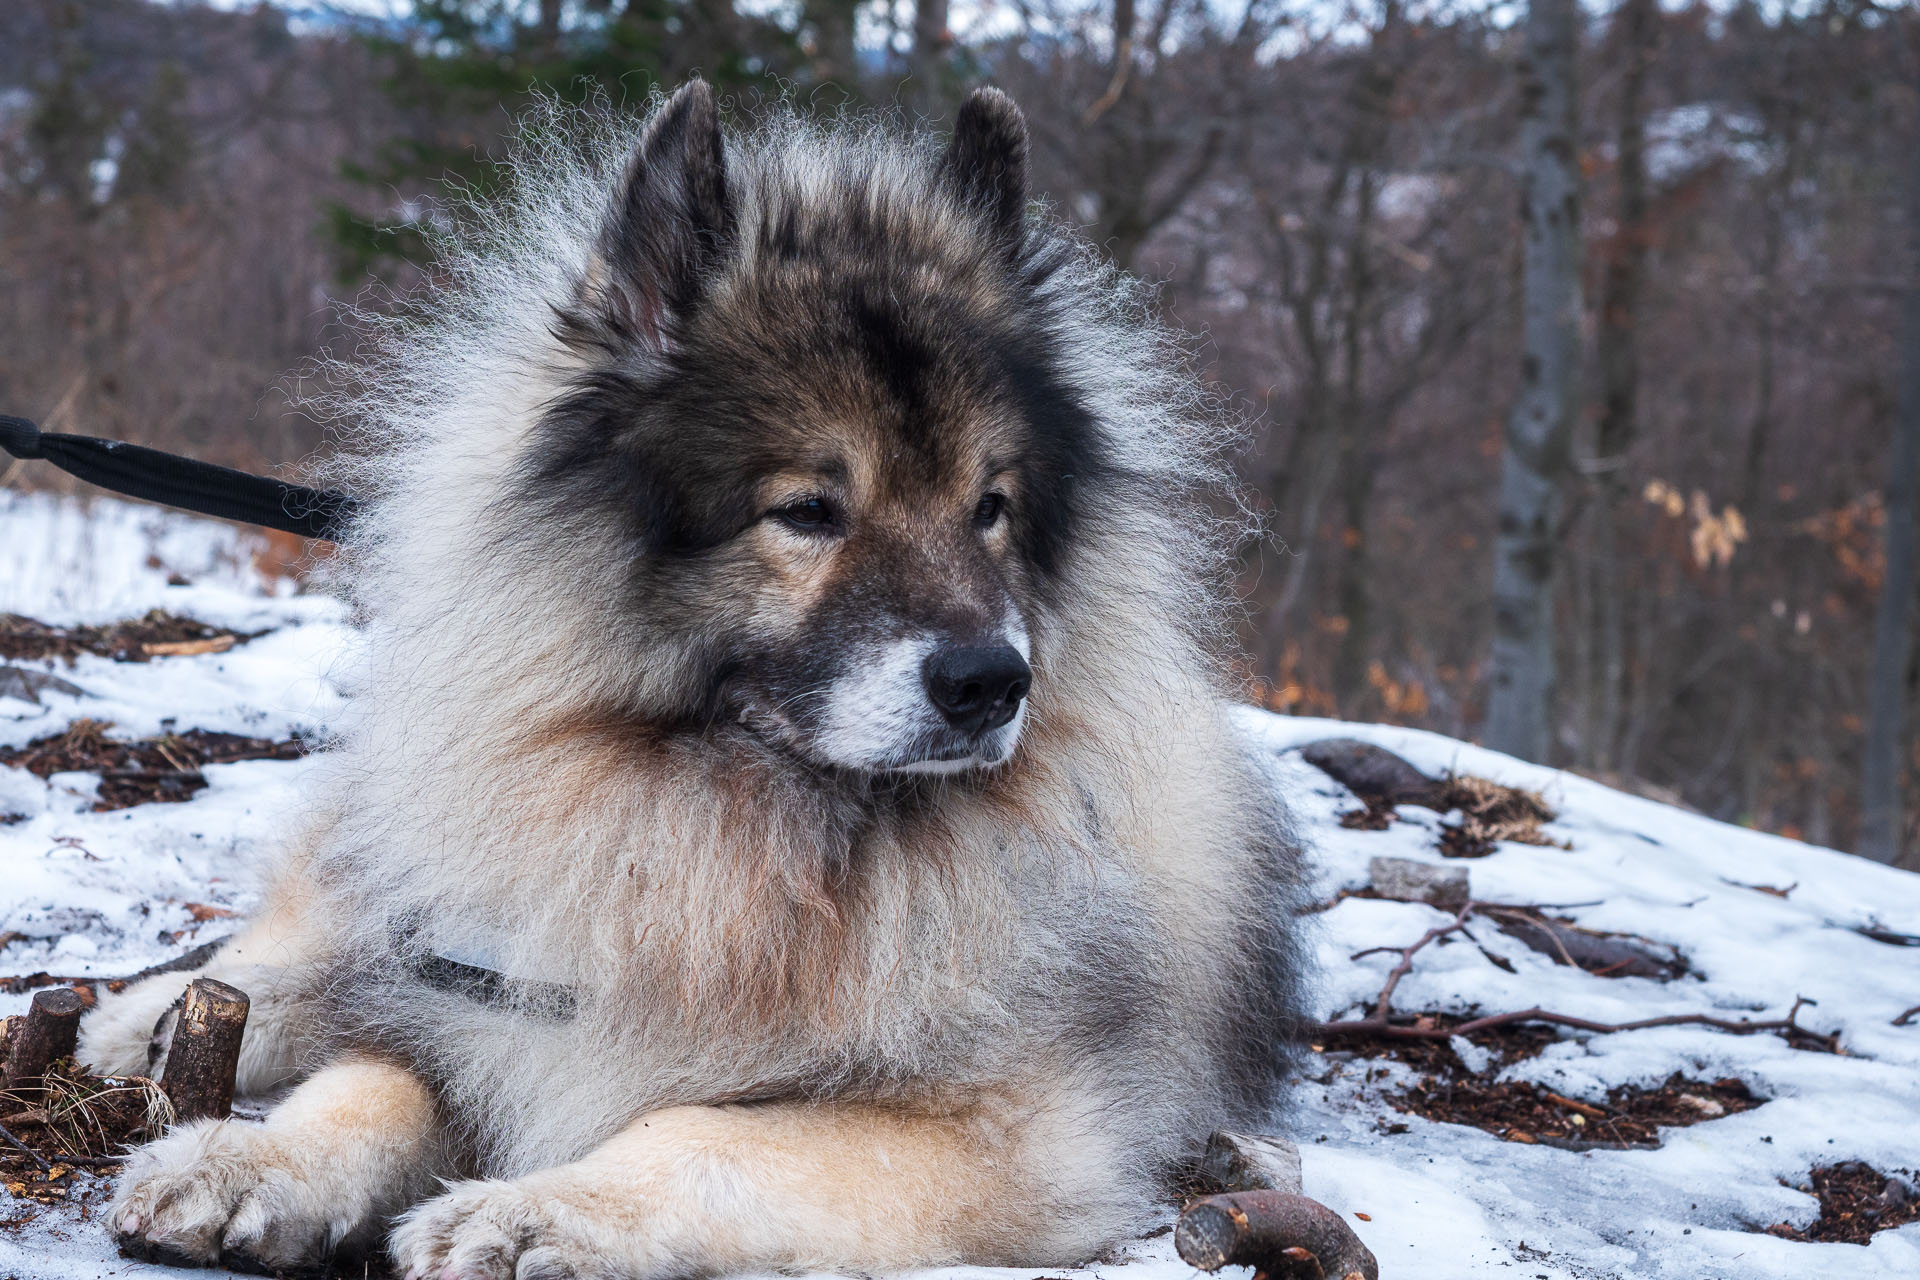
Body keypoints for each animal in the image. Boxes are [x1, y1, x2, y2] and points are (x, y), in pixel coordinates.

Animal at [74, 82, 1305, 1280]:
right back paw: (148, 1016)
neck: (736, 832)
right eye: (808, 510)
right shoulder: (483, 994)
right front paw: (251, 1159)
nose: (991, 683)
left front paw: (539, 1209)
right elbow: (369, 1080)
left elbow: (700, 1130)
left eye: (989, 508)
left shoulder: (1006, 1131)